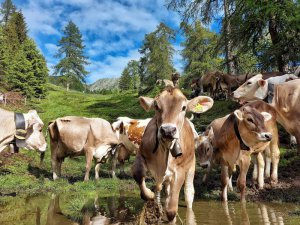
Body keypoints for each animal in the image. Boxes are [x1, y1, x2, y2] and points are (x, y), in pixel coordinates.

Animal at [131, 87, 213, 221]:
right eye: (156, 105)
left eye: (184, 107)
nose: (168, 130)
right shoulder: (141, 154)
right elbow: (138, 174)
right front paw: (150, 194)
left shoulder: (179, 170)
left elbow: (171, 210)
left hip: (191, 165)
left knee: (188, 193)